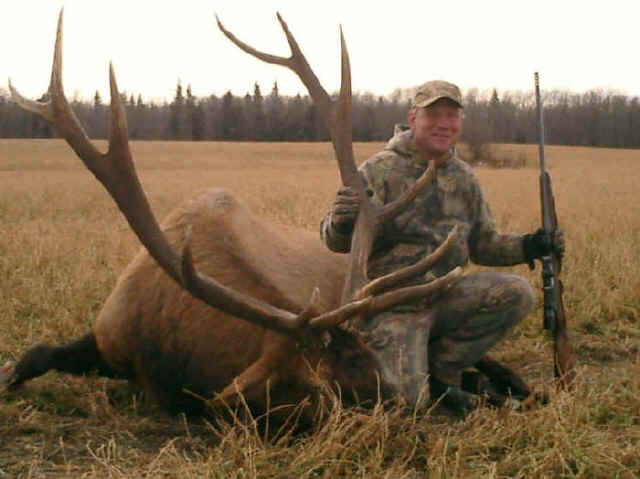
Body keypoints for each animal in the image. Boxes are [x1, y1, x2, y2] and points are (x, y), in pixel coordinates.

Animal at [1, 10, 533, 423]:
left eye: (372, 362)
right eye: (336, 388)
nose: (406, 404)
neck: (169, 348)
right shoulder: (107, 333)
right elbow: (34, 355)